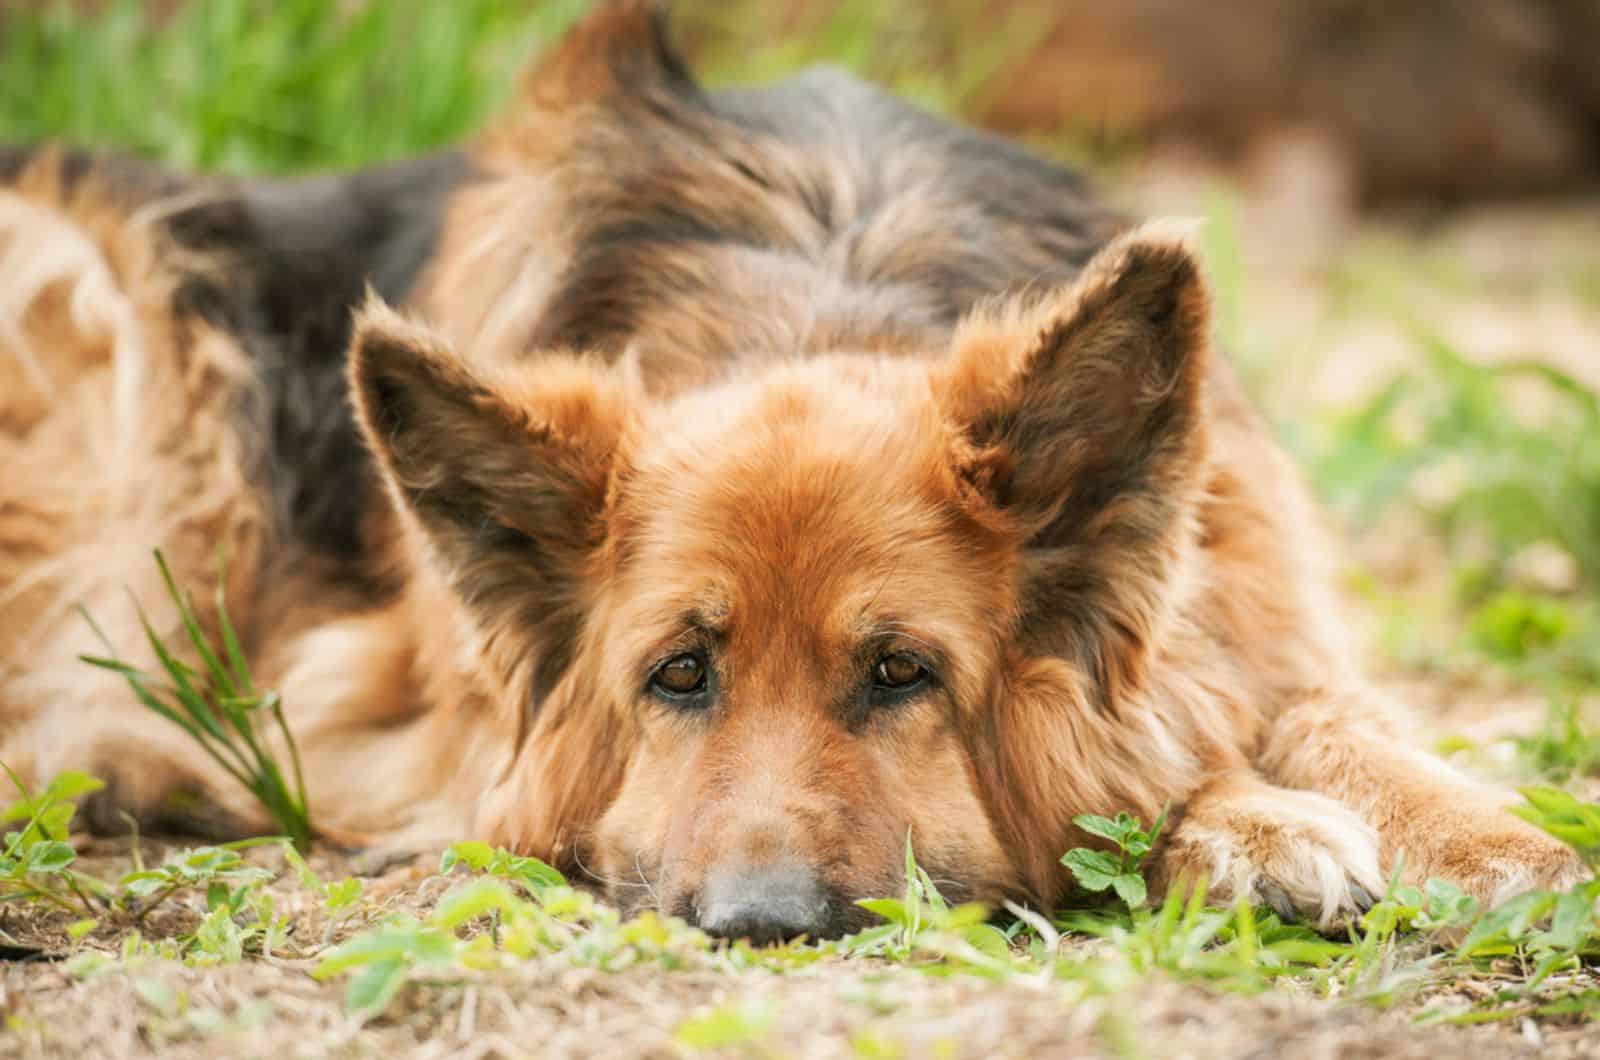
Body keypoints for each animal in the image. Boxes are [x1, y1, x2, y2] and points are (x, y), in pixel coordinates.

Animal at [0, 2, 1574, 947]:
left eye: (901, 674)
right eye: (678, 674)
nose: (760, 923)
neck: (824, 281)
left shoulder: (1257, 595)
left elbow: (1336, 726)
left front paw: (1486, 843)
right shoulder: (377, 714)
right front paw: (1236, 820)